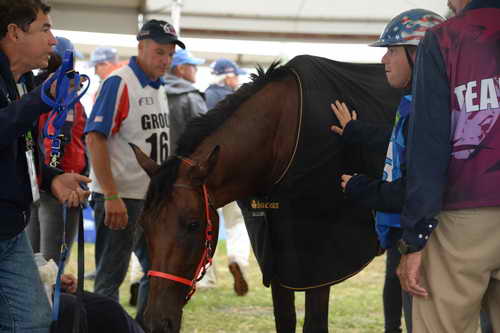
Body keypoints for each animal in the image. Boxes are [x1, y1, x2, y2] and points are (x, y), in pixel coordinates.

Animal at [132, 55, 398, 330]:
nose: (155, 322)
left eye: (193, 224)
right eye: (144, 224)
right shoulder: (278, 255)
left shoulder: (319, 261)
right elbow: (285, 318)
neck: (281, 135)